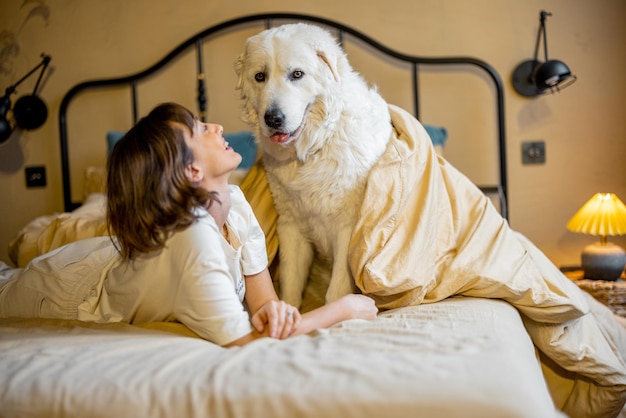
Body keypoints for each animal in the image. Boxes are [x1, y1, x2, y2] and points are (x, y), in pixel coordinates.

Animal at [235, 24, 390, 308]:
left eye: (297, 74)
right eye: (260, 76)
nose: (273, 119)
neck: (315, 146)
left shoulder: (348, 229)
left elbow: (336, 292)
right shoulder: (291, 227)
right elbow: (290, 284)